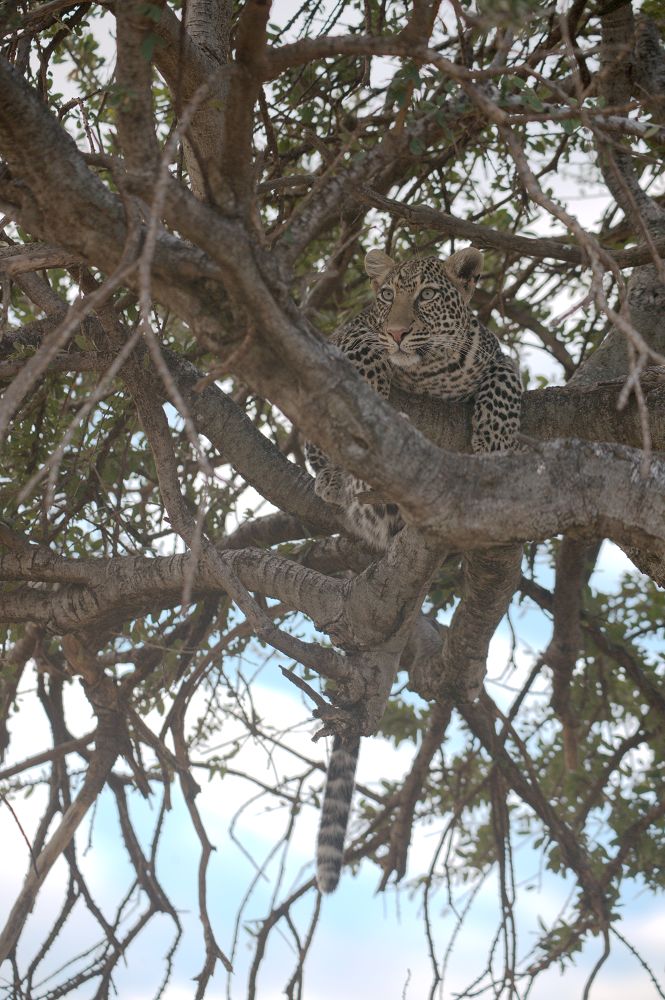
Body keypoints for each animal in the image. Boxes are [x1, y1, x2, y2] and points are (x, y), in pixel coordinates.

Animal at [308, 246, 520, 896]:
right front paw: (376, 374)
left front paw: (496, 444)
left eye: (425, 294)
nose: (400, 329)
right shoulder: (347, 334)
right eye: (386, 296)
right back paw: (334, 474)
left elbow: (504, 383)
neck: (430, 374)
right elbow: (362, 352)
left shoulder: (499, 358)